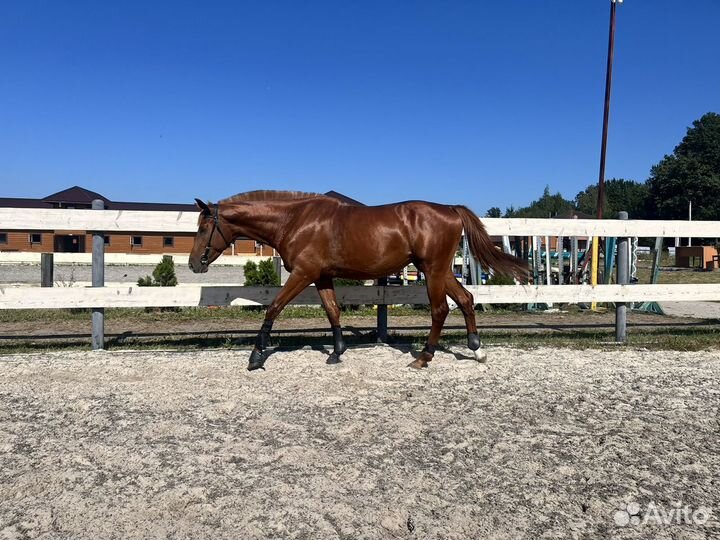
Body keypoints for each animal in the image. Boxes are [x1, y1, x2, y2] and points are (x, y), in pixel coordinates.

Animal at [187, 191, 524, 372]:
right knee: (466, 299)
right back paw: (477, 350)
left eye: (203, 228)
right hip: (439, 270)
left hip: (433, 270)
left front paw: (256, 356)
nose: (193, 264)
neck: (294, 220)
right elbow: (332, 311)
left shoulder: (303, 274)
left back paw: (423, 358)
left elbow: (274, 307)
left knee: (440, 310)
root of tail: (451, 209)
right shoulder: (321, 276)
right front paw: (337, 352)